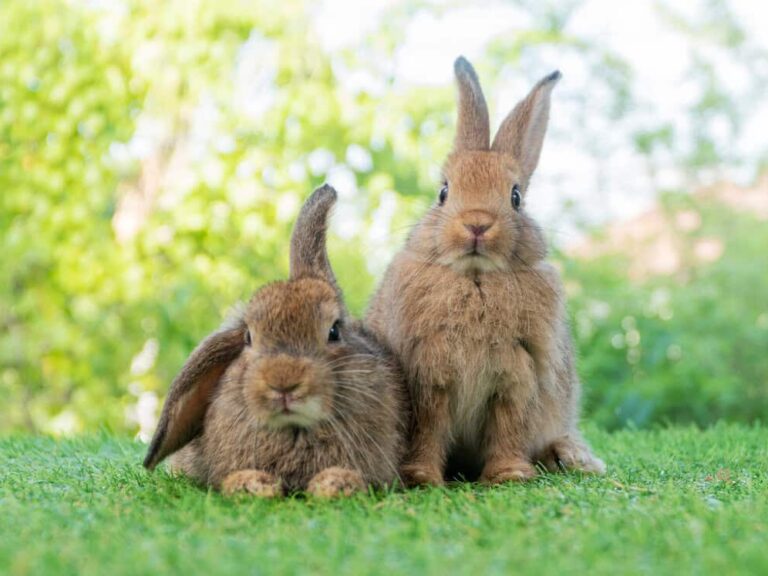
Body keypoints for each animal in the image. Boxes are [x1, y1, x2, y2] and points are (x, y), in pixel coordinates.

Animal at [366, 56, 605, 486]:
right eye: (443, 192)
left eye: (516, 197)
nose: (477, 224)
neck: (476, 279)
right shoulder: (430, 377)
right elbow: (429, 430)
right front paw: (422, 478)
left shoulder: (516, 375)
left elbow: (508, 426)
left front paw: (509, 475)